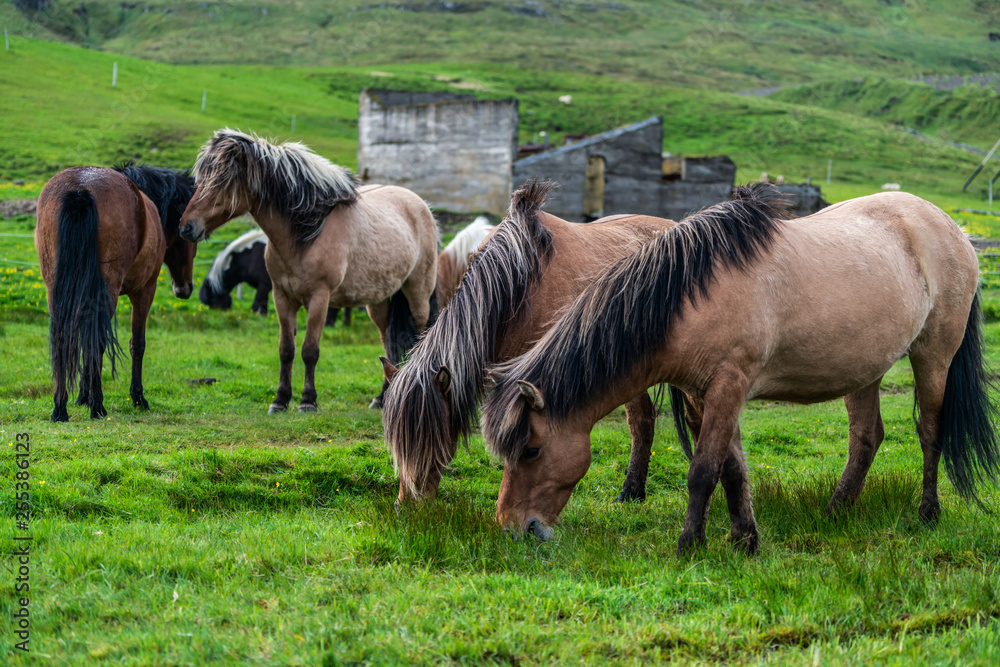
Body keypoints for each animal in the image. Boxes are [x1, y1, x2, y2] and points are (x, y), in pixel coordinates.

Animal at [36, 164, 199, 420]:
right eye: (188, 236)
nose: (185, 288)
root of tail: (81, 187)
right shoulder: (144, 291)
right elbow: (137, 344)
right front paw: (137, 397)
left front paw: (82, 396)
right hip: (108, 291)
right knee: (97, 340)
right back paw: (97, 406)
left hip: (55, 289)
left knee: (62, 338)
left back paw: (60, 408)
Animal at [480, 185, 996, 556]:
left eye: (531, 450)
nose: (511, 527)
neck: (689, 294)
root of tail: (952, 229)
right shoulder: (703, 392)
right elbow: (732, 469)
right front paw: (744, 538)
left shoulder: (729, 385)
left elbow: (703, 470)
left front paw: (690, 545)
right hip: (864, 370)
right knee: (866, 438)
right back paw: (836, 511)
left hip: (934, 355)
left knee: (930, 431)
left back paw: (927, 513)